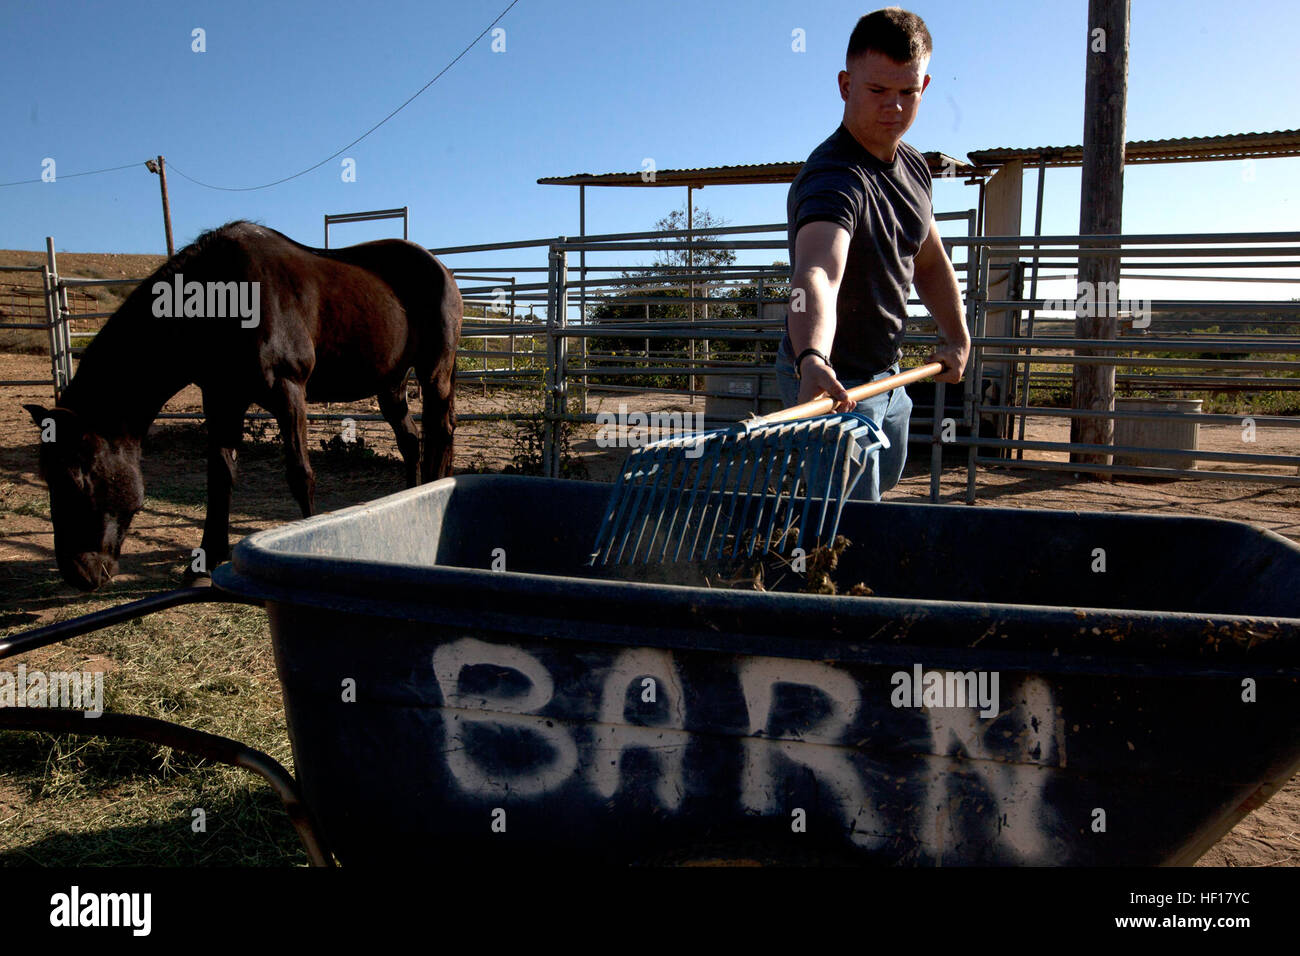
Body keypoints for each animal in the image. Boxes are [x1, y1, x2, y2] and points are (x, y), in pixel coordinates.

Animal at [24, 222, 462, 590]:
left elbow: (300, 473)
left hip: (433, 373)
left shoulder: (288, 390)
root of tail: (441, 268)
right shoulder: (222, 398)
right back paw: (412, 498)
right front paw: (202, 563)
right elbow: (220, 476)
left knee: (439, 433)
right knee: (411, 441)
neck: (222, 297)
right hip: (391, 384)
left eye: (78, 479)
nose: (79, 573)